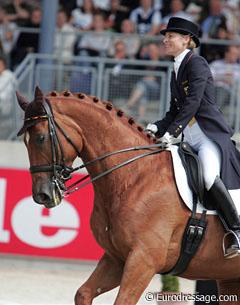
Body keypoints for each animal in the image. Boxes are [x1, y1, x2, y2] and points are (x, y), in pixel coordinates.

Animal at [17, 88, 240, 304]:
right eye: (25, 142)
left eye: (41, 138)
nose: (42, 195)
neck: (135, 175)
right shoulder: (116, 258)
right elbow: (83, 293)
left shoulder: (143, 260)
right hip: (228, 279)